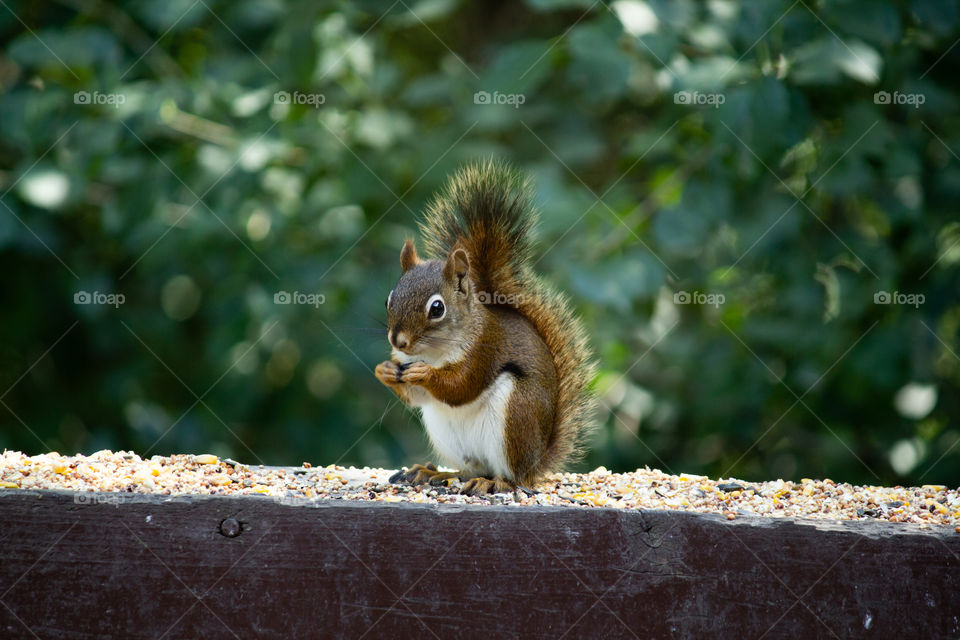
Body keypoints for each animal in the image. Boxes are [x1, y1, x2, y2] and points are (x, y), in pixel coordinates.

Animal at [375, 161, 596, 495]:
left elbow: (462, 386)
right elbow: (418, 398)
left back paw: (492, 481)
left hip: (516, 414)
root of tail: (538, 461)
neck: (434, 352)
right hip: (446, 432)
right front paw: (385, 370)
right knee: (469, 467)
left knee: (512, 478)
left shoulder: (485, 349)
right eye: (389, 298)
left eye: (437, 308)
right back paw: (435, 473)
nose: (397, 341)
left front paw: (425, 374)